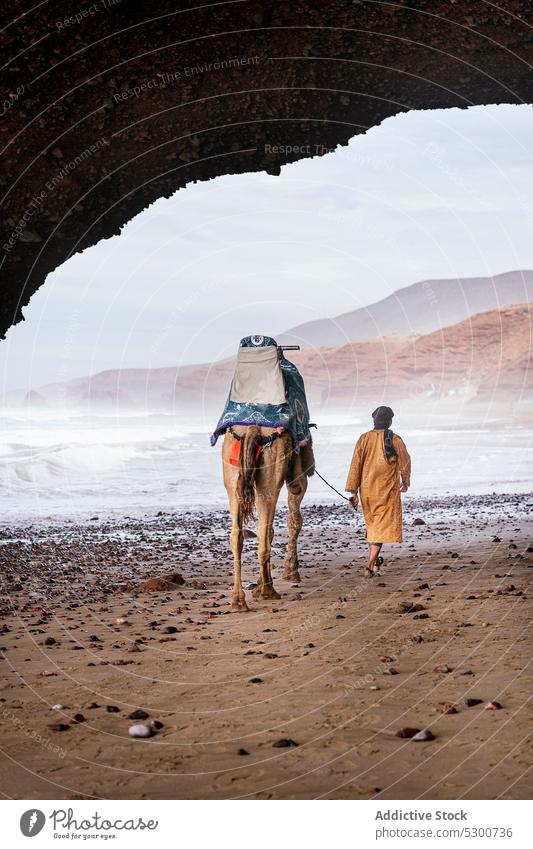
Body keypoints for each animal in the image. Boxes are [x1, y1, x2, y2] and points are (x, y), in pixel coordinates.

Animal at [221, 424, 314, 608]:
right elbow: (294, 521)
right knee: (264, 534)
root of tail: (253, 430)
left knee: (238, 536)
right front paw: (291, 572)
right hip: (271, 478)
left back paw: (238, 600)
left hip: (233, 476)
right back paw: (267, 591)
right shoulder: (299, 480)